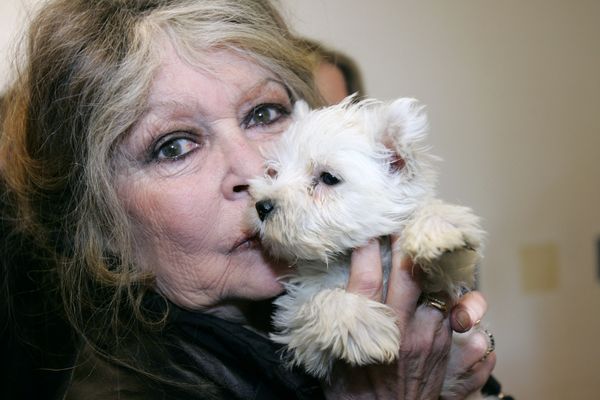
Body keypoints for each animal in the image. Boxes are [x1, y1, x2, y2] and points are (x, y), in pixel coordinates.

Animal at [246, 95, 486, 380]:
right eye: (274, 172)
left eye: (328, 178)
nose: (261, 206)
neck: (347, 255)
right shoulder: (298, 330)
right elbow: (319, 301)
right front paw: (361, 323)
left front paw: (438, 229)